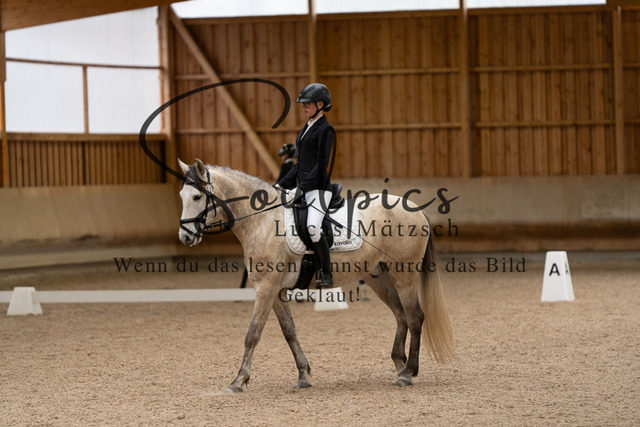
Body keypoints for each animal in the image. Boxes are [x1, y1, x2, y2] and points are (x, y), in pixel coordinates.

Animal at [177, 158, 454, 392]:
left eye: (197, 196)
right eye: (181, 196)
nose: (185, 237)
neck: (262, 221)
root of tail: (415, 209)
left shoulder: (266, 288)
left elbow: (252, 334)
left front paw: (238, 381)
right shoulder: (276, 292)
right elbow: (289, 332)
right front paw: (303, 375)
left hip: (404, 274)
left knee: (415, 317)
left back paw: (408, 373)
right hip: (380, 278)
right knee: (401, 316)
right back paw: (399, 365)